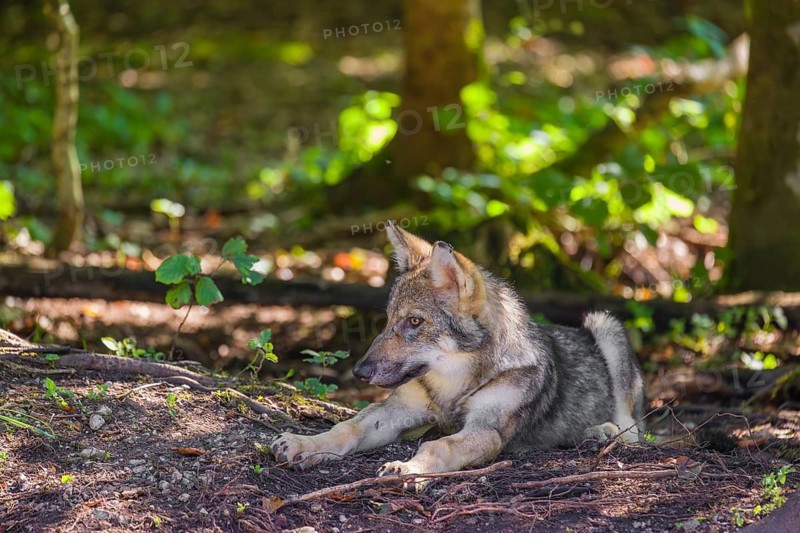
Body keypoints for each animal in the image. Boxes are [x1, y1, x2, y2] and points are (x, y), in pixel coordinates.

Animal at [271, 221, 647, 476]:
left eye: (414, 322)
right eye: (389, 320)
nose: (359, 372)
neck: (455, 382)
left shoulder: (485, 430)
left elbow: (438, 445)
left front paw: (408, 469)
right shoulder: (396, 410)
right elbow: (346, 428)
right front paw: (305, 444)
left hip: (605, 325)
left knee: (635, 430)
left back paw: (602, 431)